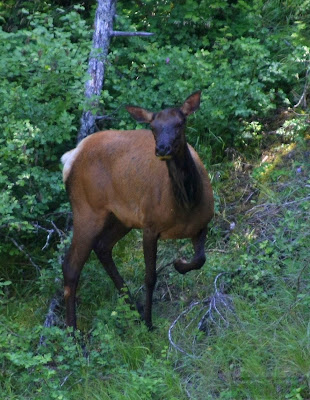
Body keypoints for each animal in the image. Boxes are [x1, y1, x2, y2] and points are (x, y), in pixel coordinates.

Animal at [61, 92, 214, 330]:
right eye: (153, 127)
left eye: (180, 123)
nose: (162, 148)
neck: (186, 206)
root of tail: (71, 157)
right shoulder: (150, 226)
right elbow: (150, 277)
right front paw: (150, 324)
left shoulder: (203, 223)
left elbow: (200, 259)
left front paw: (179, 264)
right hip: (87, 209)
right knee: (71, 266)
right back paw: (72, 331)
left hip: (122, 217)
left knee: (102, 247)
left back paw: (136, 309)